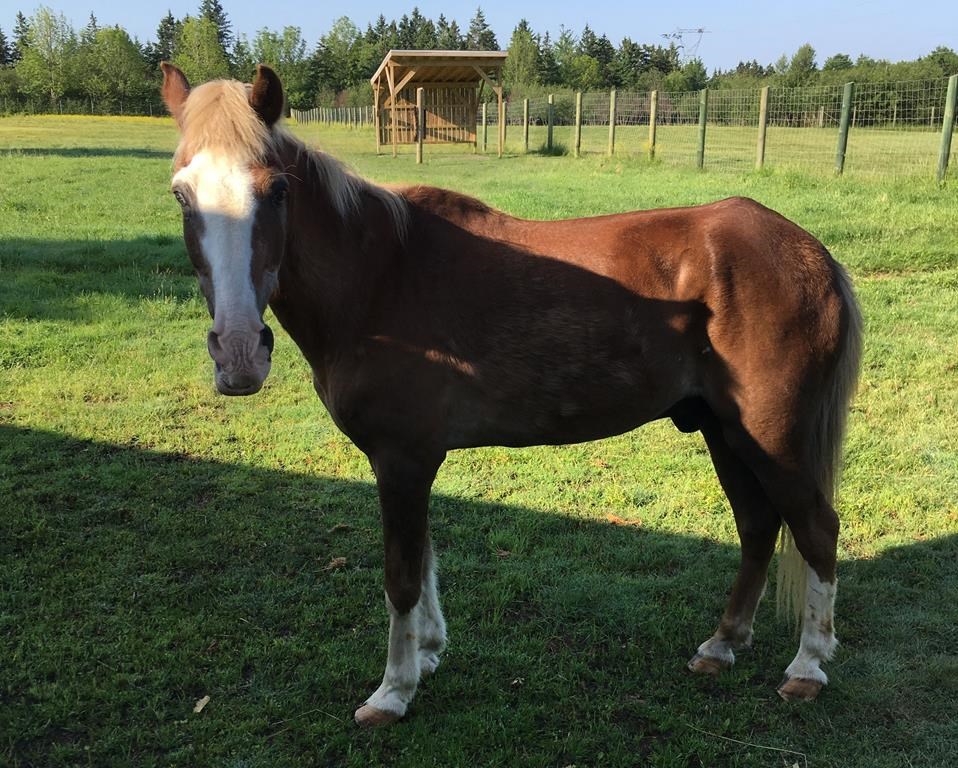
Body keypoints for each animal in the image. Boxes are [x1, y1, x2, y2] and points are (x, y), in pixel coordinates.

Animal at [161, 64, 868, 728]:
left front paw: (394, 691)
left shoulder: (402, 458)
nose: (238, 353)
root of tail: (811, 253)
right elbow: (425, 561)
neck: (378, 276)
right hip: (724, 429)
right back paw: (721, 647)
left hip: (772, 434)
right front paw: (428, 652)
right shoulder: (411, 462)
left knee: (815, 528)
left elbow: (401, 576)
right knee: (757, 526)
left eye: (276, 190)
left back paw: (807, 666)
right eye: (181, 194)